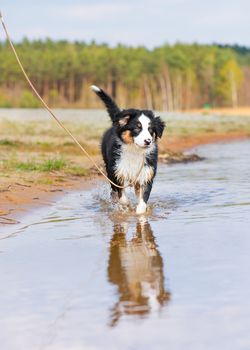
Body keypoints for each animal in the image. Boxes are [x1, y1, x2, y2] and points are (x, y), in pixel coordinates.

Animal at [91, 86, 165, 215]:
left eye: (151, 130)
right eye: (137, 128)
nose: (148, 141)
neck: (135, 151)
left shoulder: (146, 173)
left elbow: (143, 200)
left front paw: (140, 212)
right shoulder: (116, 172)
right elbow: (122, 196)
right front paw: (125, 206)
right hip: (109, 167)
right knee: (113, 192)